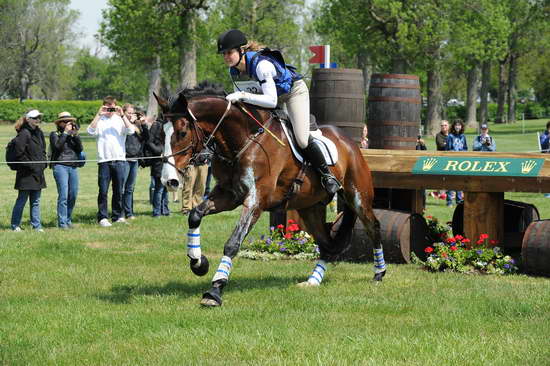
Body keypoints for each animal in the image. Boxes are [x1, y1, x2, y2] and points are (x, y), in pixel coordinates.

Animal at [155, 85, 388, 306]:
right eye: (160, 135)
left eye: (182, 133)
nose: (169, 181)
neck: (244, 140)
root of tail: (349, 142)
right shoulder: (229, 195)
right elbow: (195, 215)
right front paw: (198, 263)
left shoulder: (255, 202)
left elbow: (233, 243)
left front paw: (215, 290)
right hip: (309, 207)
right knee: (327, 244)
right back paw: (313, 280)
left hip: (357, 196)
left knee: (372, 226)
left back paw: (378, 274)